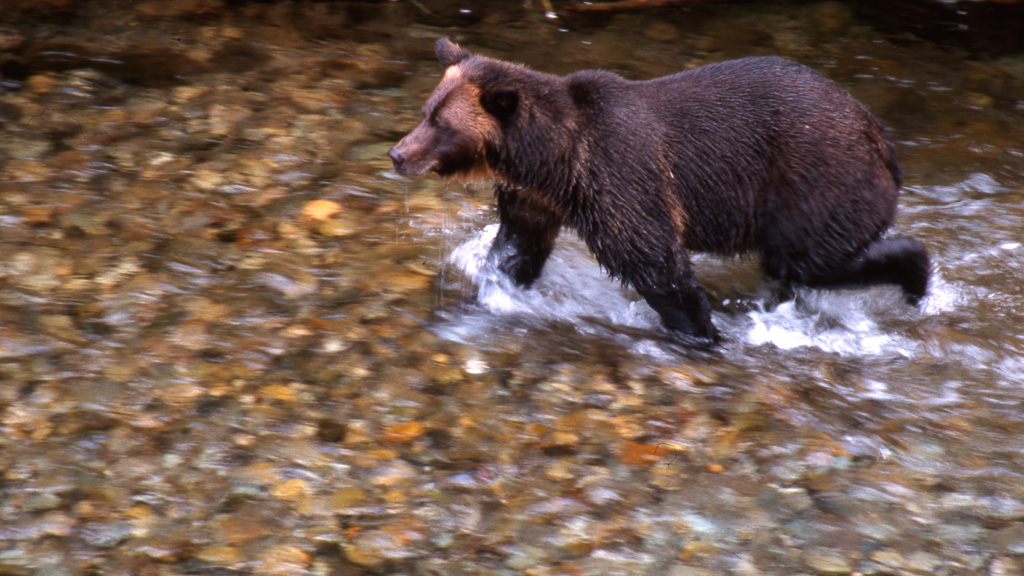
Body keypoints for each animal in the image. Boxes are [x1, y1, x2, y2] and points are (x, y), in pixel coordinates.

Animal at [388, 38, 929, 344]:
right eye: (427, 111)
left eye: (441, 125)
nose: (397, 154)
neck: (553, 156)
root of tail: (877, 132)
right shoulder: (540, 197)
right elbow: (518, 247)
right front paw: (492, 287)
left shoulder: (618, 174)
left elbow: (653, 259)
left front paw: (701, 333)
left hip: (815, 180)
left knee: (810, 259)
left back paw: (917, 279)